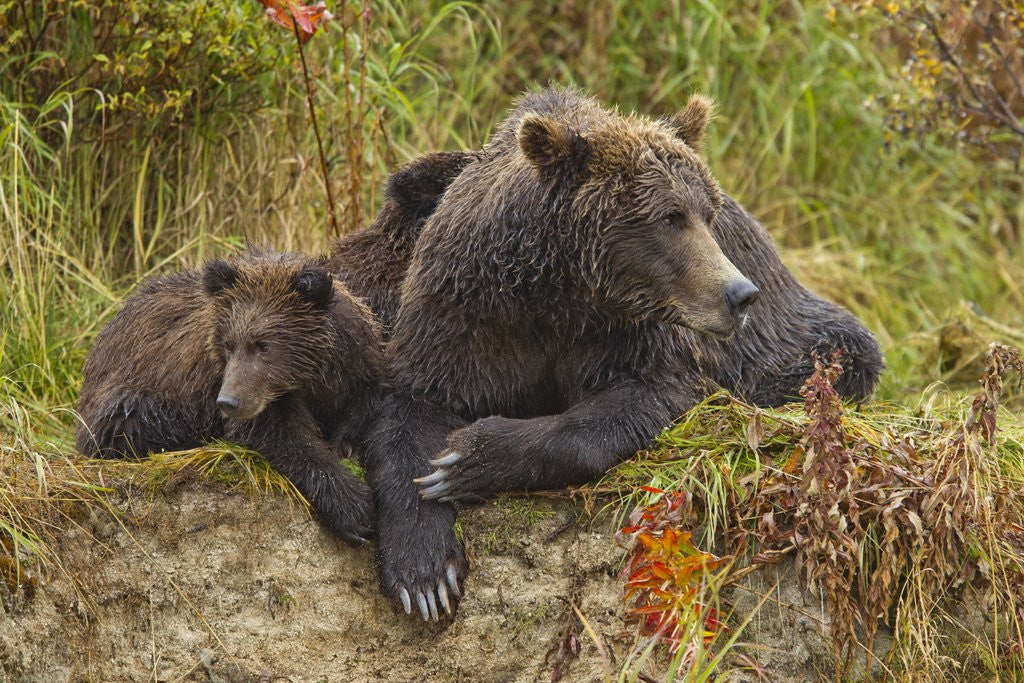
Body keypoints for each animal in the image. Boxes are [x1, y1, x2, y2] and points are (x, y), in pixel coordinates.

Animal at [75, 250, 382, 546]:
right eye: (229, 344)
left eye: (264, 346)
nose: (228, 402)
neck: (307, 377)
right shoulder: (241, 389)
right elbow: (284, 437)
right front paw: (355, 511)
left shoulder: (354, 364)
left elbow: (364, 402)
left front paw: (345, 443)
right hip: (128, 393)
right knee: (129, 421)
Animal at [357, 87, 883, 622]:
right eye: (670, 217)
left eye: (707, 213)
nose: (739, 294)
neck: (563, 291)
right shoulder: (470, 314)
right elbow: (414, 404)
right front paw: (424, 570)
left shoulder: (630, 334)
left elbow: (636, 399)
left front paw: (470, 457)